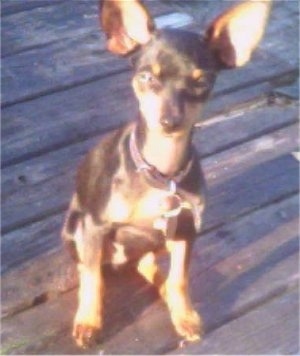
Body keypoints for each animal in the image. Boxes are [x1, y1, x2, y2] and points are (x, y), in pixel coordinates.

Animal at [61, 0, 272, 348]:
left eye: (202, 82)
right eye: (146, 77)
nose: (170, 122)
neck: (162, 173)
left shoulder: (186, 230)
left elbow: (179, 279)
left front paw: (184, 314)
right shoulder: (95, 226)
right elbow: (92, 279)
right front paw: (89, 322)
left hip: (163, 238)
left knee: (148, 263)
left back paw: (161, 287)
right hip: (75, 228)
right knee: (89, 266)